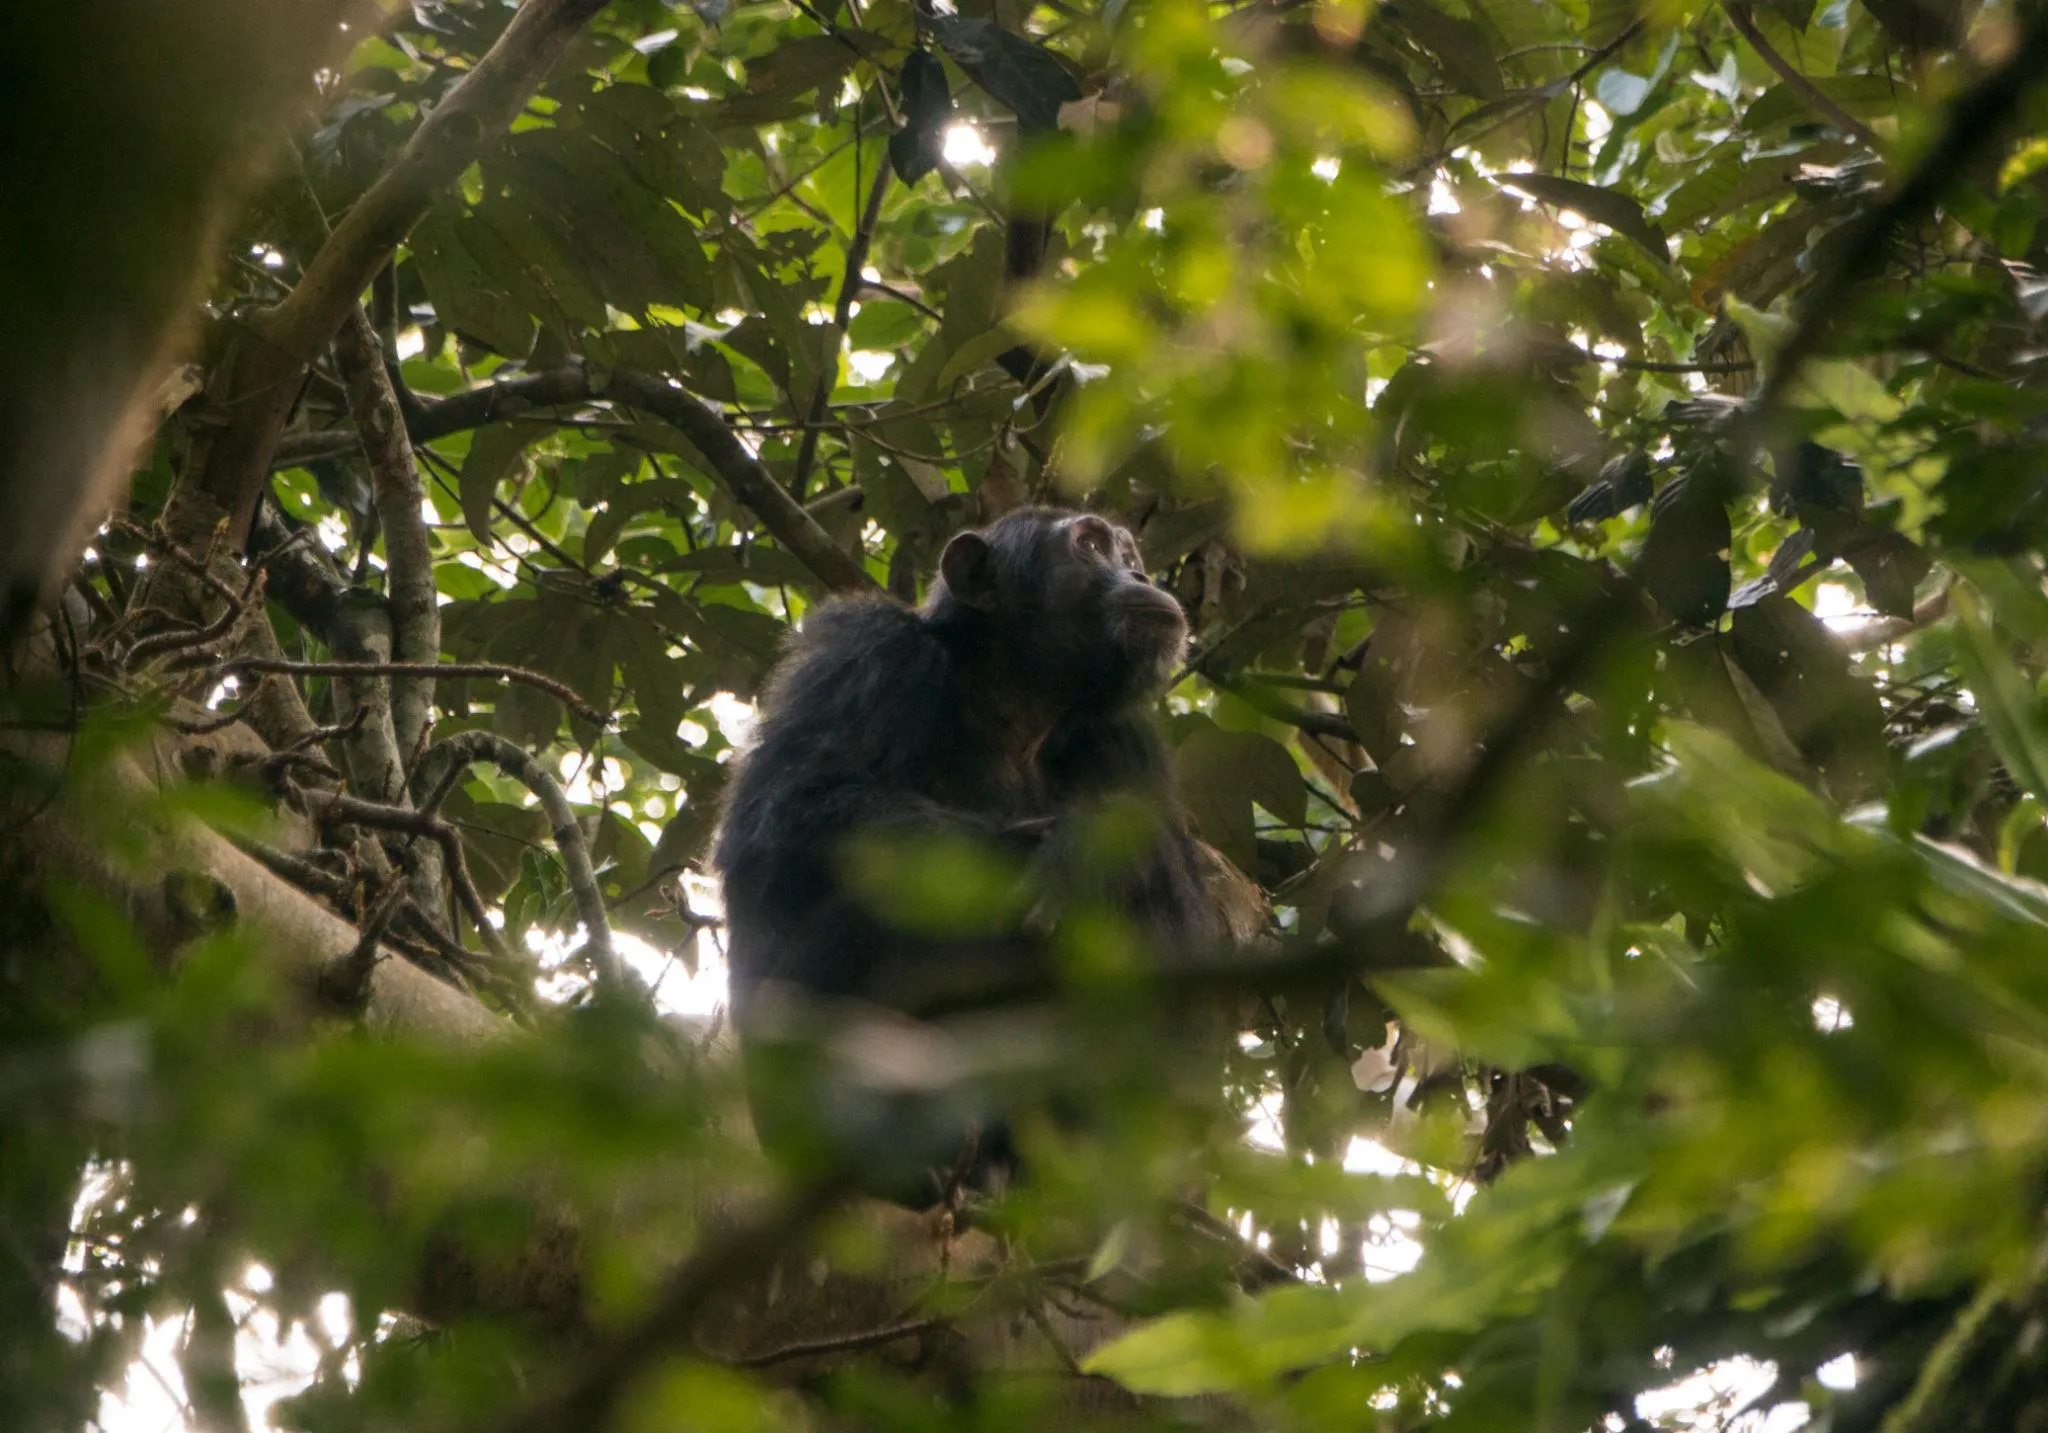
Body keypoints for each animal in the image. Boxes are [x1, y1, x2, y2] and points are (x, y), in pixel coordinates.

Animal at [712, 506, 1216, 1199]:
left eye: (1129, 552)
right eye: (1089, 546)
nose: (1140, 574)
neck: (1015, 702)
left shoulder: (1129, 743)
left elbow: (1183, 914)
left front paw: (1085, 857)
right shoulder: (868, 656)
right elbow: (790, 807)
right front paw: (1043, 856)